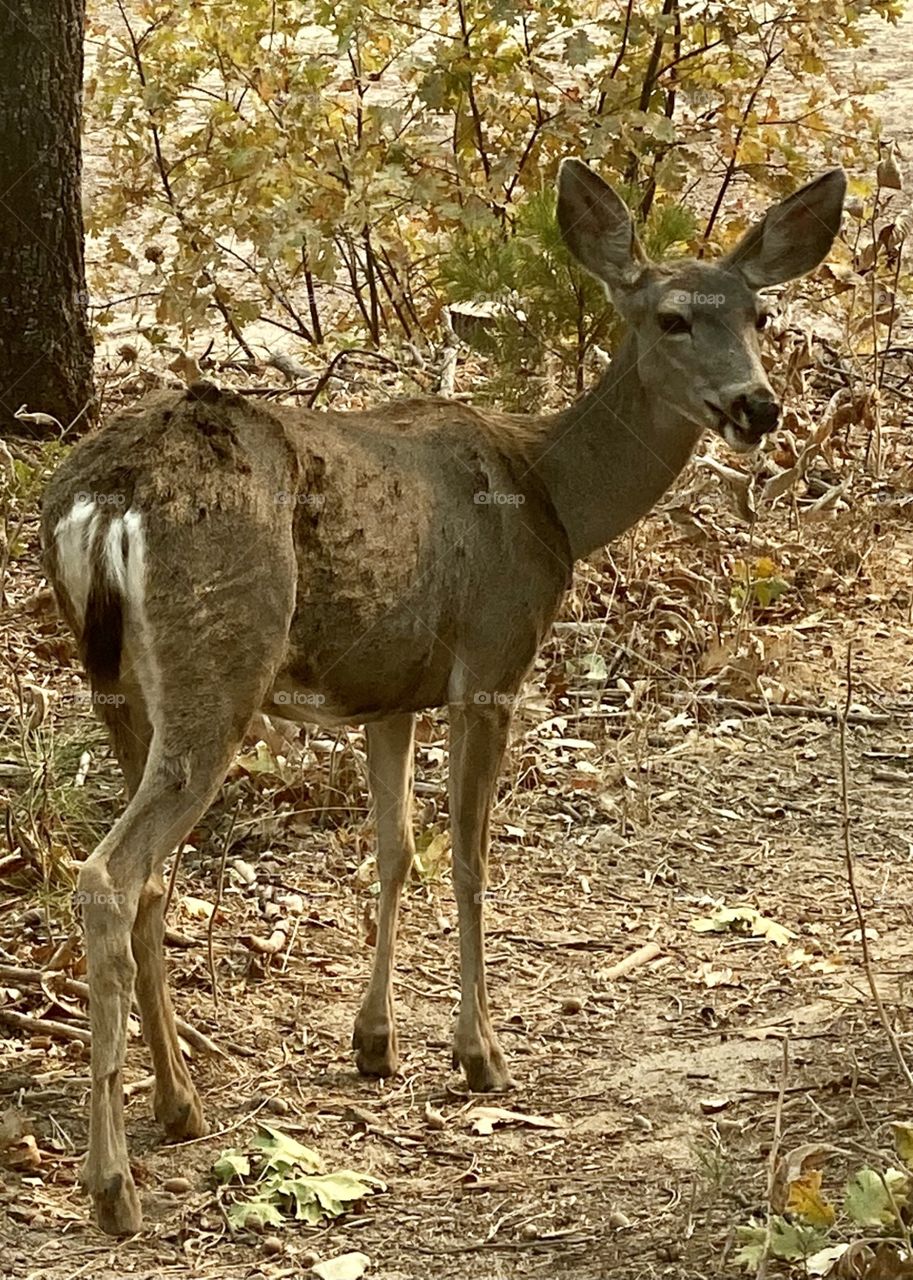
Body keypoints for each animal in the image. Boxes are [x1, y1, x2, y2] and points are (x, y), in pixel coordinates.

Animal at [41, 159, 845, 1234]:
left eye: (758, 312)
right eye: (672, 318)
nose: (757, 407)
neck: (549, 490)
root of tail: (106, 497)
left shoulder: (388, 692)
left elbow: (391, 855)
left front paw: (373, 1042)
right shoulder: (491, 662)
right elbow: (466, 857)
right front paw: (478, 1053)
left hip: (119, 688)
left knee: (153, 880)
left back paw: (181, 1106)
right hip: (221, 661)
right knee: (108, 874)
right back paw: (114, 1184)